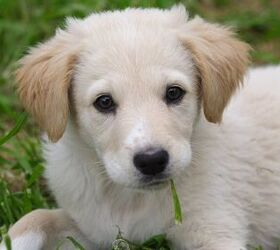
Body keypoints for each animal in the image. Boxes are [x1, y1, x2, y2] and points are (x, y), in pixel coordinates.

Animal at [2, 4, 280, 250]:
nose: (152, 161)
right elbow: (37, 217)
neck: (130, 199)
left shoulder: (215, 227)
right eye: (104, 102)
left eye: (174, 93)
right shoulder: (94, 230)